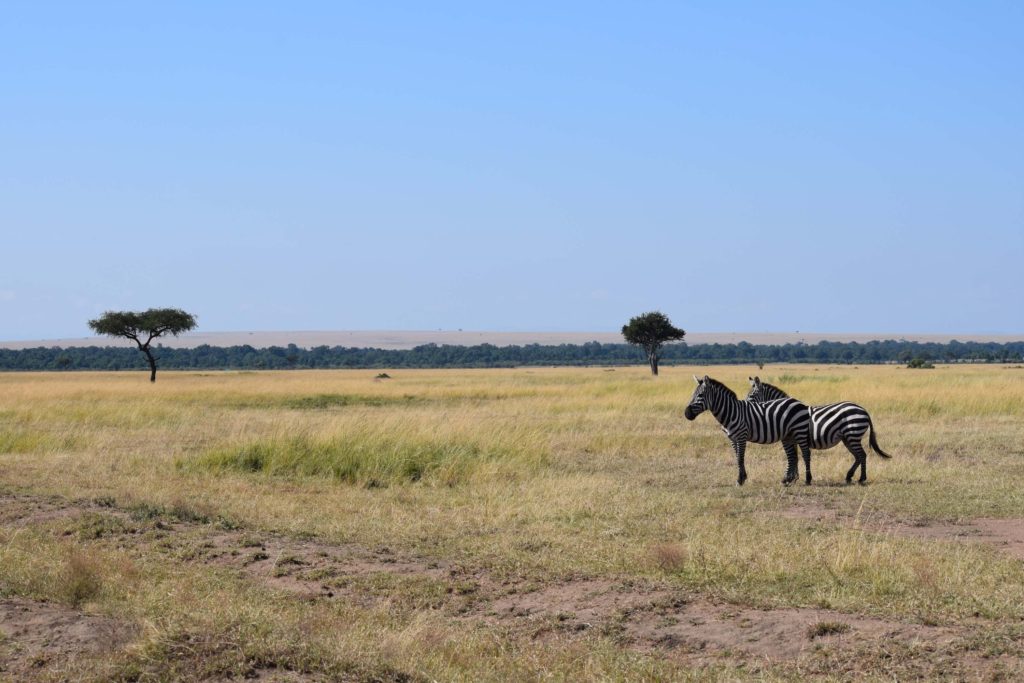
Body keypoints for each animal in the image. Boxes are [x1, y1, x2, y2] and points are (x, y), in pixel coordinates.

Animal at [741, 376, 892, 483]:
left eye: (751, 396)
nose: (743, 408)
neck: (784, 412)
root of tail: (864, 410)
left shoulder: (789, 438)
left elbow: (793, 457)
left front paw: (792, 478)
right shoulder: (794, 439)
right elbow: (795, 457)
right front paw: (795, 477)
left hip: (853, 435)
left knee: (862, 455)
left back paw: (861, 478)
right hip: (847, 438)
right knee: (858, 456)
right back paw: (849, 476)